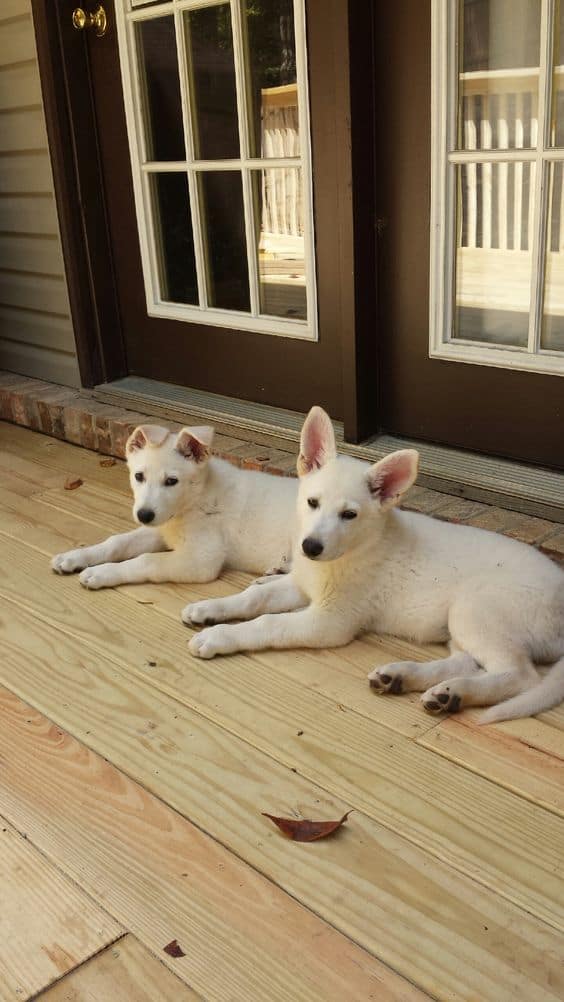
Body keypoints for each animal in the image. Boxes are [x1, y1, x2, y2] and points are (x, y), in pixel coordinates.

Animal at [51, 420, 298, 585]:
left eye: (171, 481)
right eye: (139, 476)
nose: (143, 515)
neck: (195, 499)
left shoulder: (202, 559)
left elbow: (146, 560)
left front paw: (102, 573)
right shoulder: (160, 528)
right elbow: (117, 542)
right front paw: (74, 557)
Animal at [185, 402, 564, 725]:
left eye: (349, 515)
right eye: (312, 502)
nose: (310, 547)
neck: (351, 550)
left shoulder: (329, 622)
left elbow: (268, 623)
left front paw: (219, 636)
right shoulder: (302, 585)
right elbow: (254, 598)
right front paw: (208, 608)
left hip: (476, 609)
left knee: (520, 676)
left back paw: (454, 691)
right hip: (462, 622)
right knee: (466, 661)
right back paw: (419, 683)